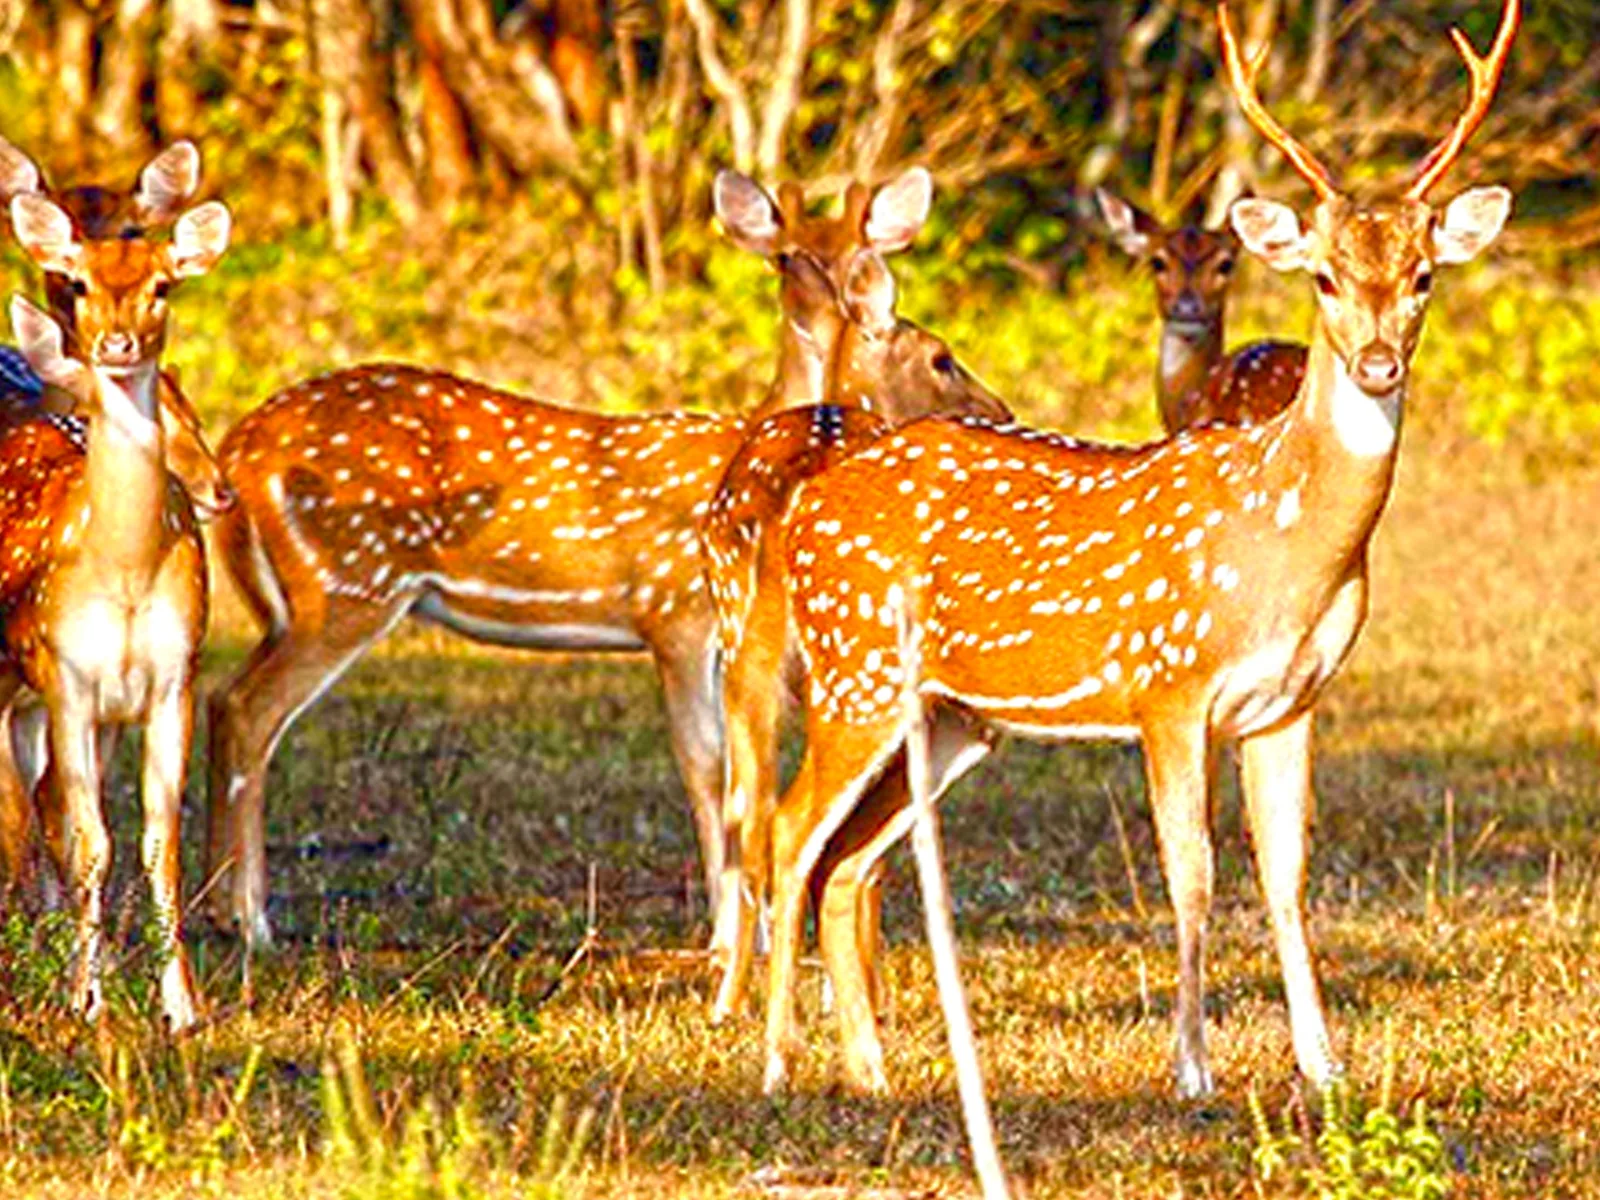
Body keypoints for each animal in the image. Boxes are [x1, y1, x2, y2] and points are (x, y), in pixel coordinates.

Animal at [0, 186, 231, 1028]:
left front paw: (183, 1006)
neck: (125, 569)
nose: (119, 342)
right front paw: (83, 997)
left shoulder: (171, 683)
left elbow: (158, 843)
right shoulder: (67, 680)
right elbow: (89, 843)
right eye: (80, 280)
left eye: (164, 284)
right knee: (22, 818)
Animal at [202, 168, 967, 951]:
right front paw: (727, 933)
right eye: (785, 257)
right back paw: (252, 919)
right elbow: (707, 767)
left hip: (297, 602)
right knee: (248, 708)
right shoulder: (675, 616)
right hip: (349, 583)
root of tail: (235, 450)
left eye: (864, 250)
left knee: (222, 700)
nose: (834, 306)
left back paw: (217, 909)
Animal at [704, 247, 1009, 1018]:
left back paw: (731, 999)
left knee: (748, 811)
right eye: (941, 357)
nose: (1001, 410)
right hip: (855, 659)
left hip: (743, 647)